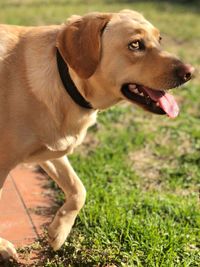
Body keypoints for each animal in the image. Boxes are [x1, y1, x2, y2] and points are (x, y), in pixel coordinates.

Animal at [0, 9, 194, 260]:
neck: (64, 80)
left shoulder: (52, 148)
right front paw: (3, 246)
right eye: (135, 44)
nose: (190, 72)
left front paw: (58, 232)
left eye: (159, 40)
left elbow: (78, 190)